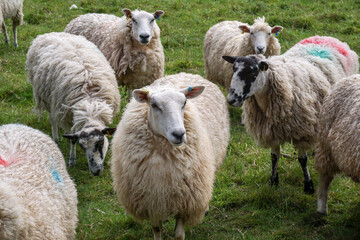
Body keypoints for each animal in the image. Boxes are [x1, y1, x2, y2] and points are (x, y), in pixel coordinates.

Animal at [27, 31, 119, 175]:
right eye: (83, 147)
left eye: (100, 143)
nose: (95, 171)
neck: (90, 105)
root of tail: (50, 33)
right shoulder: (68, 116)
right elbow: (72, 139)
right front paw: (72, 160)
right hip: (49, 99)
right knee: (53, 118)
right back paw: (56, 138)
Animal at [111, 72, 229, 240]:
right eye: (154, 105)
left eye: (184, 102)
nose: (179, 134)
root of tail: (186, 73)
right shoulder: (151, 198)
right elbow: (156, 229)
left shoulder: (185, 199)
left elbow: (179, 234)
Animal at [224, 35, 358, 194]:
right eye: (233, 69)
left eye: (253, 72)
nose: (231, 99)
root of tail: (327, 37)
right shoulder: (272, 131)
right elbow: (274, 157)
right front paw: (273, 181)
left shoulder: (302, 130)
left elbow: (302, 160)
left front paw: (309, 185)